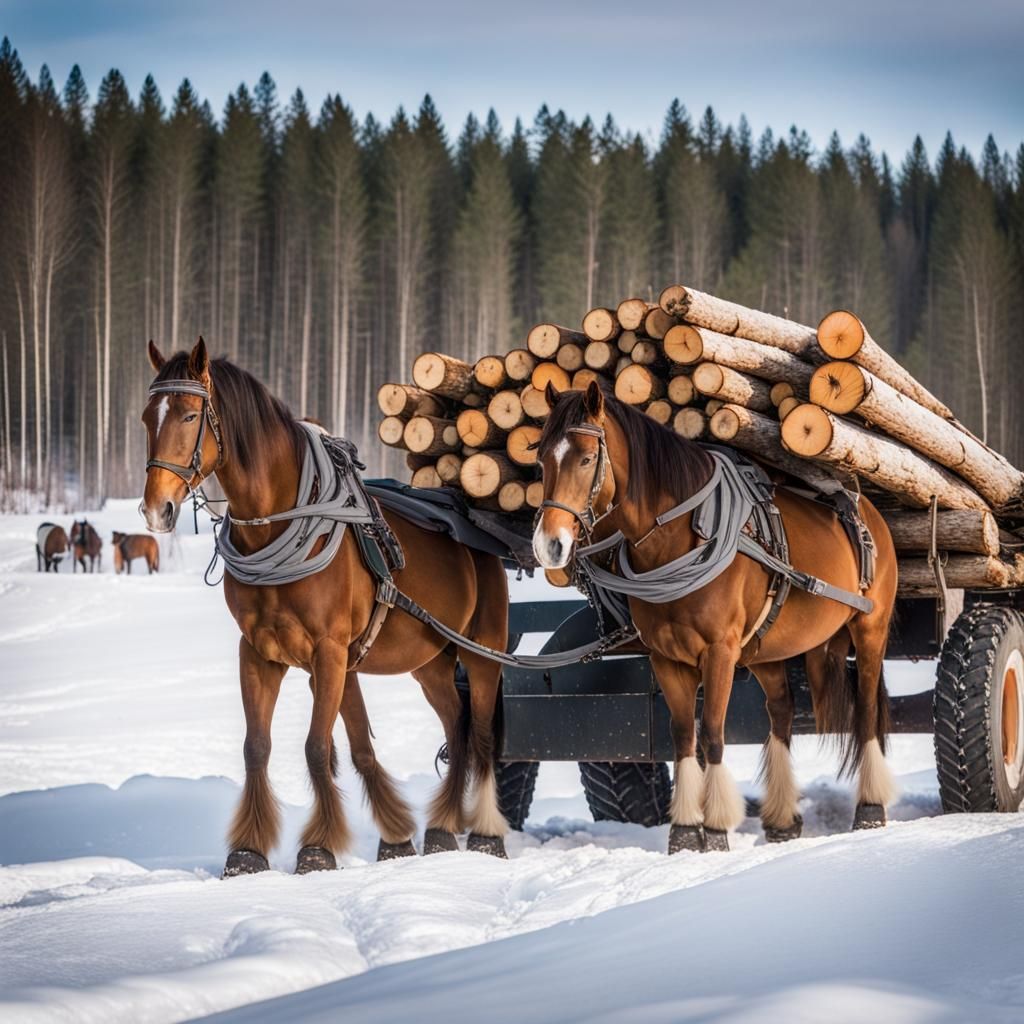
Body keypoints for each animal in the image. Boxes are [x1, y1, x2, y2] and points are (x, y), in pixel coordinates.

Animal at [139, 337, 510, 875]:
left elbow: (317, 749)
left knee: (479, 734)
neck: (277, 523)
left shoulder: (329, 652)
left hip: (483, 651)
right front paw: (249, 849)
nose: (155, 510)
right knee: (456, 728)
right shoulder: (260, 652)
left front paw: (317, 846)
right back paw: (441, 830)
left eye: (190, 415)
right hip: (430, 662)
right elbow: (261, 747)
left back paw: (484, 833)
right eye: (147, 417)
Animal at [532, 381, 898, 854]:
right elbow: (683, 736)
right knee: (781, 712)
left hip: (870, 628)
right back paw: (783, 819)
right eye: (541, 458)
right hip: (767, 650)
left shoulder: (720, 652)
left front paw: (718, 829)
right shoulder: (666, 658)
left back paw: (870, 809)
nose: (549, 546)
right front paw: (686, 832)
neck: (678, 540)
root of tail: (865, 507)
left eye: (586, 458)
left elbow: (712, 734)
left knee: (867, 710)